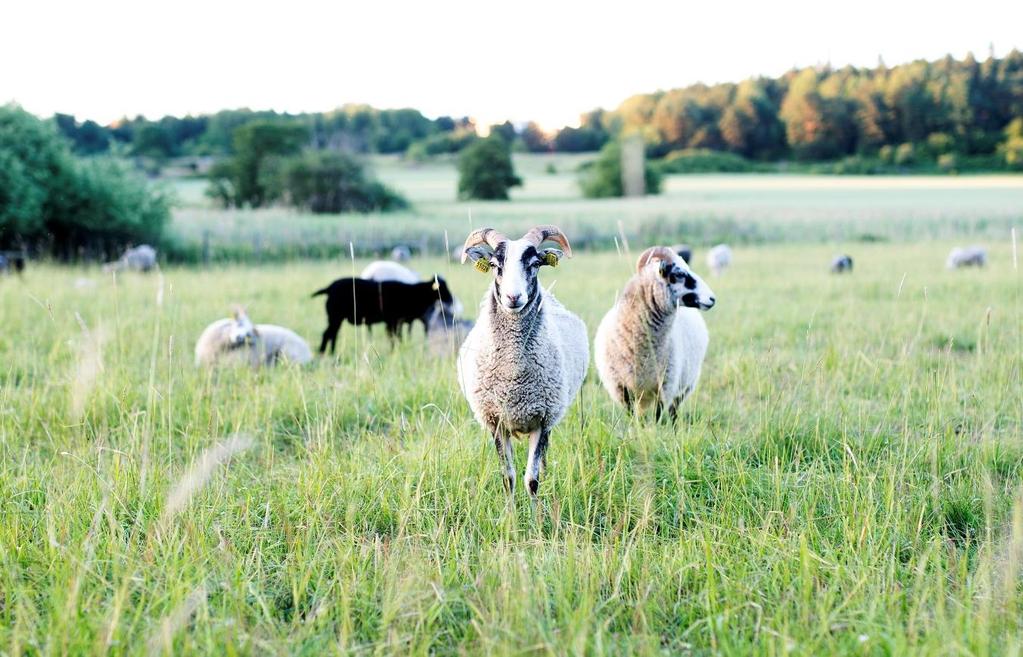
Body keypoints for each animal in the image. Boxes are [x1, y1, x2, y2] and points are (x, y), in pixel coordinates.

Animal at [310, 274, 456, 349]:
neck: (413, 293)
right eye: (441, 287)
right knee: (327, 335)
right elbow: (394, 338)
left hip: (335, 319)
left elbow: (396, 338)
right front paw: (395, 351)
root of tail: (329, 288)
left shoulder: (395, 322)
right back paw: (323, 354)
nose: (451, 299)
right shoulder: (393, 321)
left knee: (332, 335)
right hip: (335, 317)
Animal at [454, 225, 589, 495]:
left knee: (543, 459)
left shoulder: (543, 420)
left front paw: (537, 506)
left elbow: (532, 480)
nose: (513, 297)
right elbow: (508, 477)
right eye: (495, 265)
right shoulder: (495, 421)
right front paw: (510, 508)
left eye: (535, 263)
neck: (513, 375)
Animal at [593, 244, 720, 419]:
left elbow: (657, 417)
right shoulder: (621, 388)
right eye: (679, 274)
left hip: (684, 386)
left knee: (673, 412)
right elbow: (633, 417)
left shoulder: (665, 387)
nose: (712, 299)